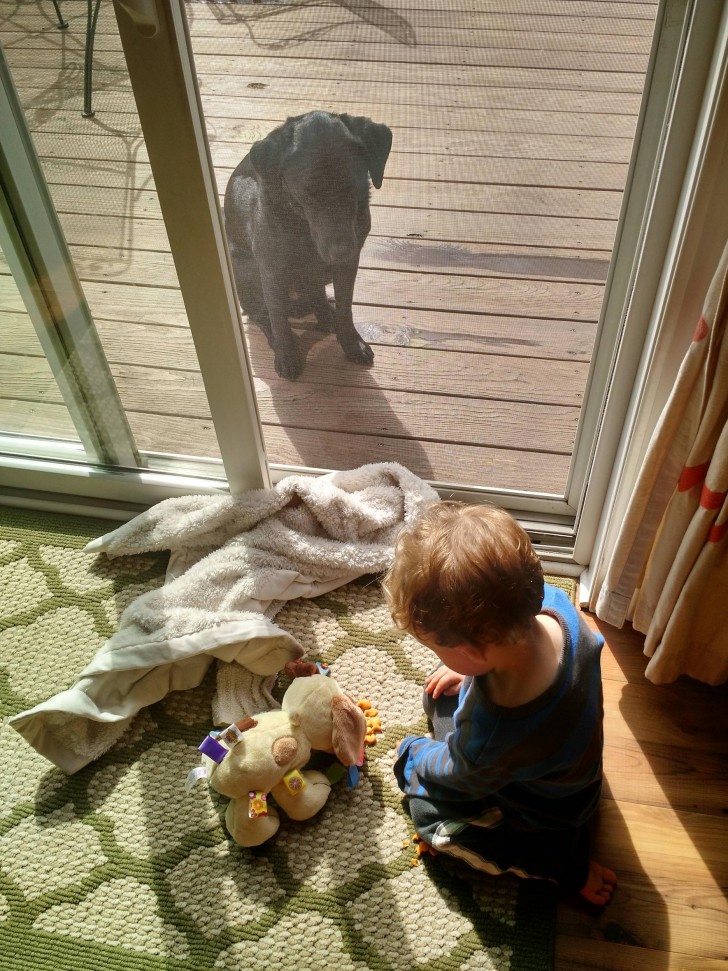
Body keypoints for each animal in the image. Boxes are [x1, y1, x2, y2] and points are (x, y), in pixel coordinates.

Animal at [223, 109, 392, 376]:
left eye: (353, 186)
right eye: (308, 193)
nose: (343, 252)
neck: (302, 227)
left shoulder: (347, 268)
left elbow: (346, 308)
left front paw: (351, 343)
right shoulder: (271, 270)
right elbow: (278, 317)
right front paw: (287, 354)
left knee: (316, 296)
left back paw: (326, 314)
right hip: (246, 270)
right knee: (260, 313)